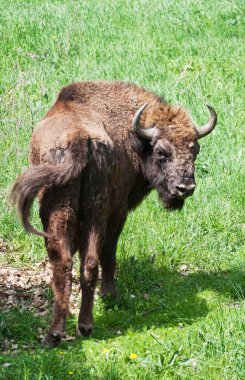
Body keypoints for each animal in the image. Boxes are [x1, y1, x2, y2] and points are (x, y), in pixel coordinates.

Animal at [11, 81, 216, 346]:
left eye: (195, 151)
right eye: (161, 153)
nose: (185, 187)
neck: (134, 137)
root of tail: (80, 139)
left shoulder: (119, 210)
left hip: (66, 213)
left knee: (66, 263)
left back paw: (56, 334)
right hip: (92, 211)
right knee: (88, 262)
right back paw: (85, 326)